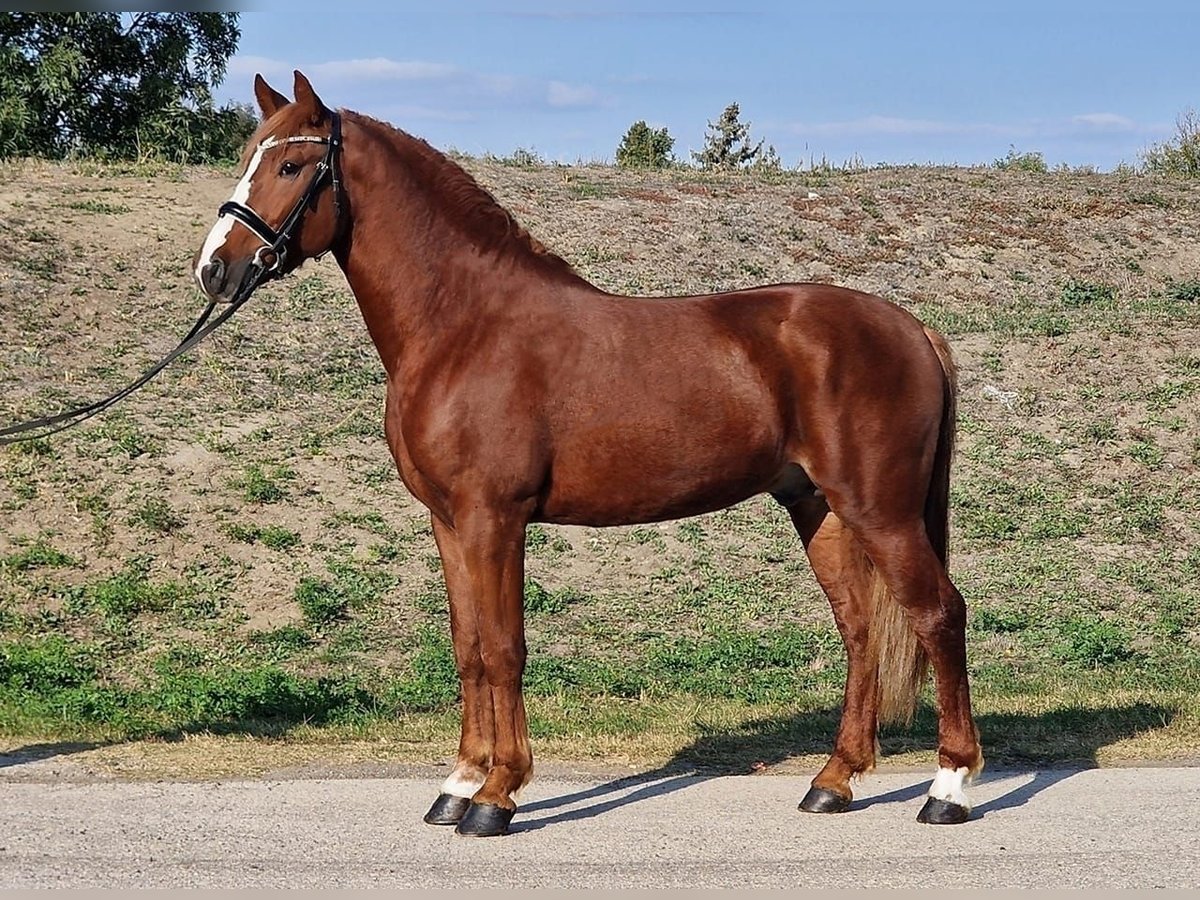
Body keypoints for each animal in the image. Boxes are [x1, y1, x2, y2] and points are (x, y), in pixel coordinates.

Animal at [193, 70, 983, 837]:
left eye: (291, 165)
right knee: (859, 630)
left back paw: (948, 787)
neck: (463, 328)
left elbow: (504, 648)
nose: (215, 271)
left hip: (882, 512)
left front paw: (498, 795)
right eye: (249, 157)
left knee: (939, 615)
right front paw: (458, 784)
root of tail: (914, 329)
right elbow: (468, 647)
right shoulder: (449, 522)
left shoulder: (495, 519)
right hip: (819, 507)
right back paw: (833, 781)